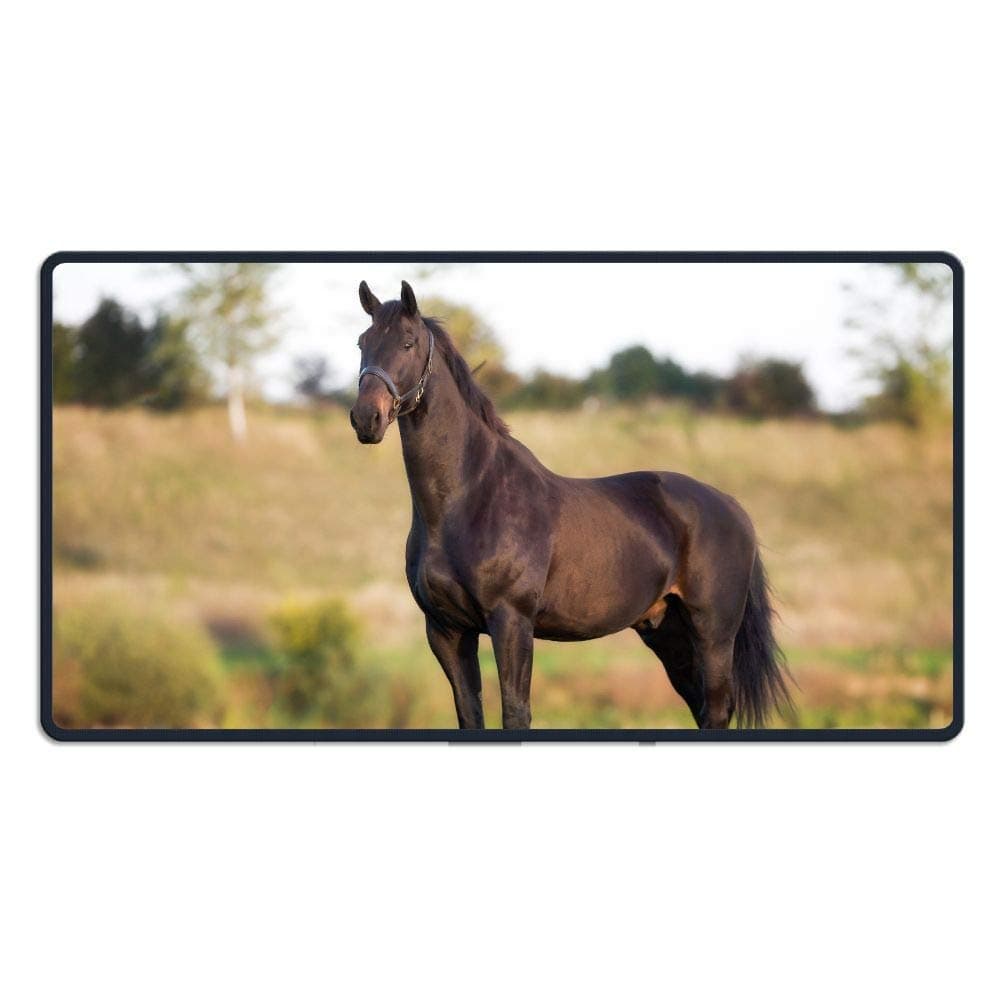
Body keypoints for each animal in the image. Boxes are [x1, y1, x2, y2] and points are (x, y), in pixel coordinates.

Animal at [349, 280, 792, 730]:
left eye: (407, 343)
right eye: (362, 343)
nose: (366, 418)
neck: (469, 499)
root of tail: (732, 507)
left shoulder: (512, 622)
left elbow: (516, 712)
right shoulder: (446, 630)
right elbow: (470, 713)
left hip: (713, 632)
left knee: (716, 707)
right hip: (668, 632)